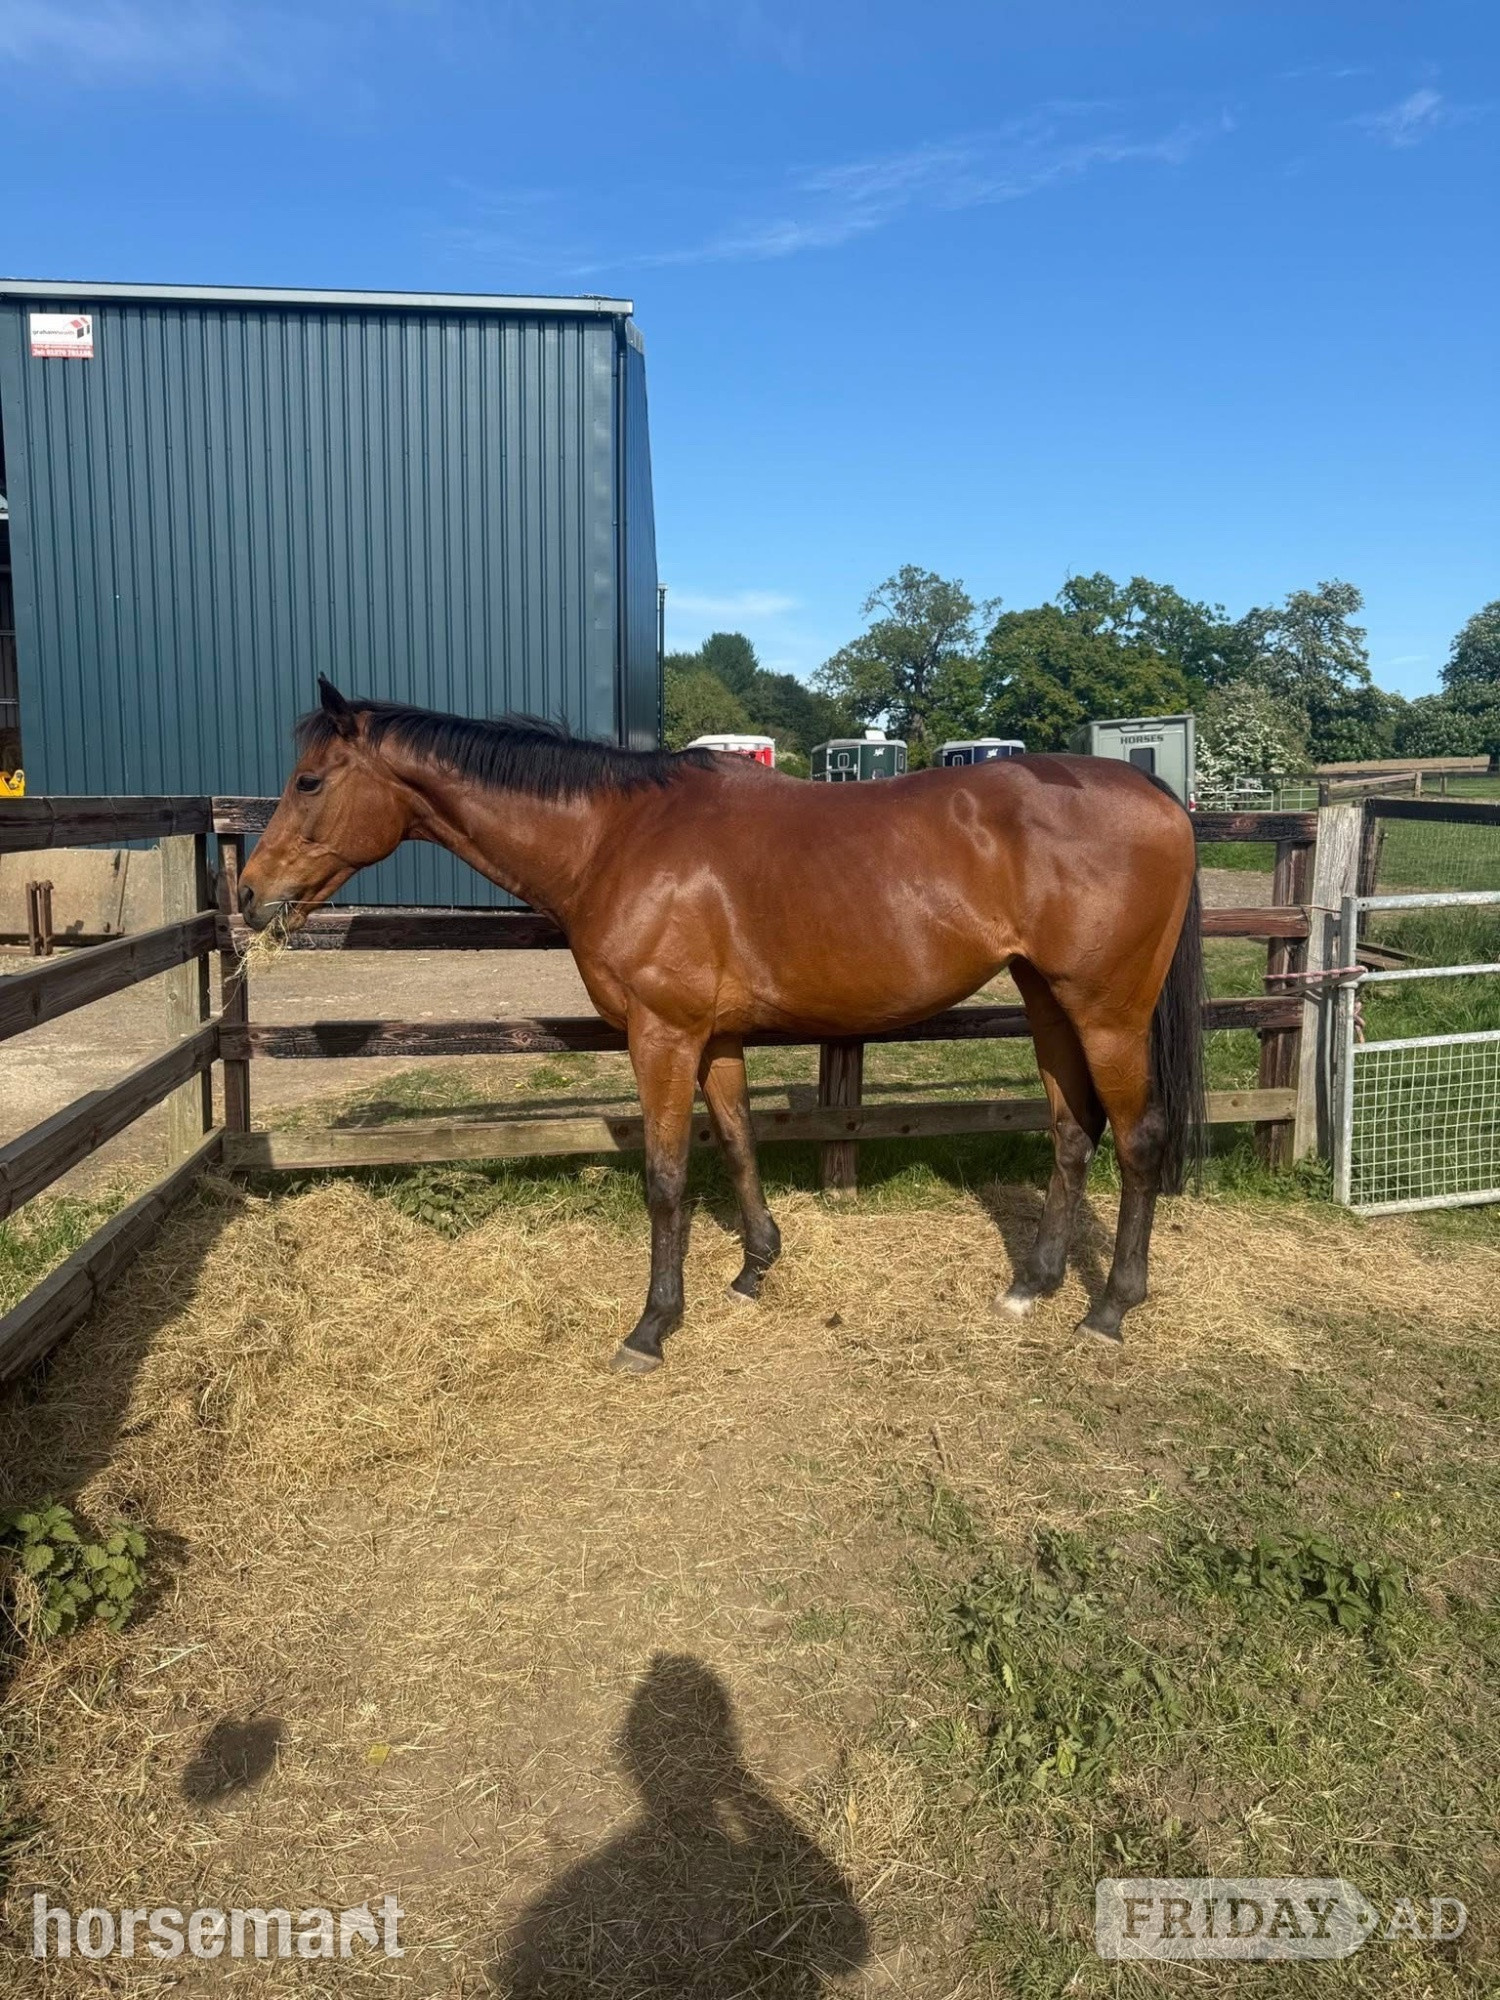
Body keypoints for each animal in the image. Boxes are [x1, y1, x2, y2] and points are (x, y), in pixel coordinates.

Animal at [239, 679, 1205, 1374]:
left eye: (310, 780)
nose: (249, 894)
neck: (617, 837)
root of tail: (1154, 789)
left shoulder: (661, 1035)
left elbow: (666, 1179)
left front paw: (652, 1326)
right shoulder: (719, 1038)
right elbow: (739, 1142)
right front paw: (753, 1269)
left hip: (1108, 1013)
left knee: (1138, 1140)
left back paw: (1110, 1308)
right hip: (1048, 1002)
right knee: (1071, 1132)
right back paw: (1033, 1284)